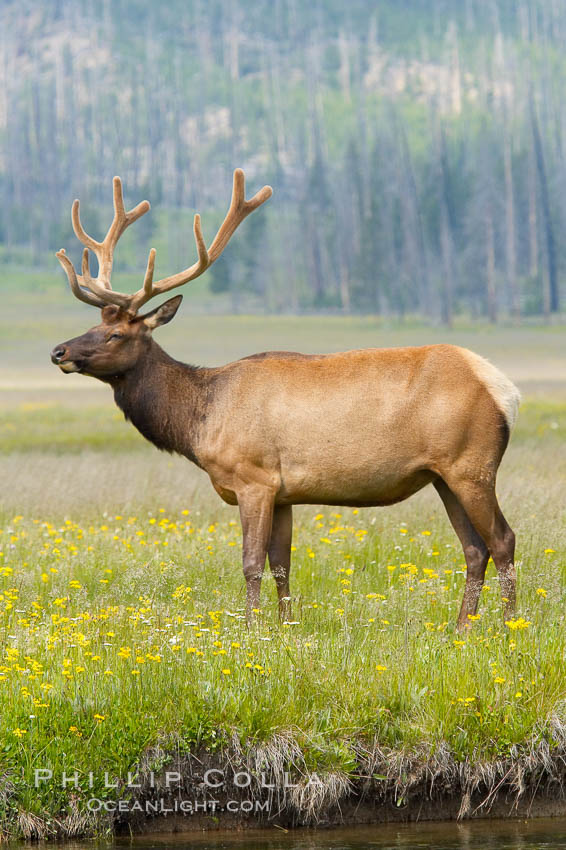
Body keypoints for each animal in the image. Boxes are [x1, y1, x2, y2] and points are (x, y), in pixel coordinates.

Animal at [51, 171, 520, 628]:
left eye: (115, 334)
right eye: (93, 324)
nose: (59, 351)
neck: (200, 421)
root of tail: (504, 390)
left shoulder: (253, 478)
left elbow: (251, 563)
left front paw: (252, 629)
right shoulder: (283, 492)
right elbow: (281, 564)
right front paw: (285, 628)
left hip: (472, 465)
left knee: (502, 539)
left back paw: (510, 627)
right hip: (443, 474)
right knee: (475, 548)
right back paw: (461, 629)